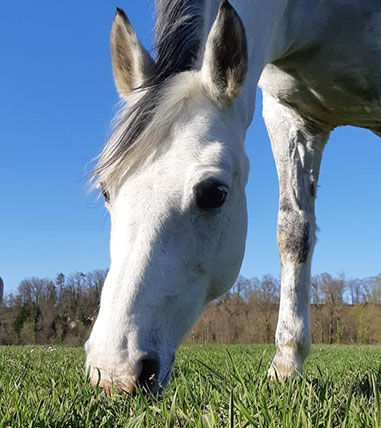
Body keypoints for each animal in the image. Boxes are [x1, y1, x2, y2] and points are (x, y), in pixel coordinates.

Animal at [84, 0, 378, 394]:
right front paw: (287, 366)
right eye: (106, 190)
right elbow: (294, 233)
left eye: (214, 193)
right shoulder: (291, 116)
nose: (113, 373)